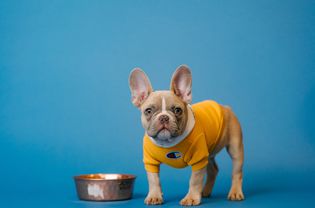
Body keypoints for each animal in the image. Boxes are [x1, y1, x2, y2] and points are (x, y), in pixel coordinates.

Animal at [128, 65, 244, 206]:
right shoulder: (150, 161)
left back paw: (235, 192)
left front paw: (191, 198)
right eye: (148, 111)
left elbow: (195, 180)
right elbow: (153, 179)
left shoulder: (198, 159)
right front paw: (155, 196)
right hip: (208, 153)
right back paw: (206, 191)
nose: (164, 117)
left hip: (235, 148)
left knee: (237, 172)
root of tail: (226, 108)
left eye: (177, 110)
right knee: (213, 170)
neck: (168, 142)